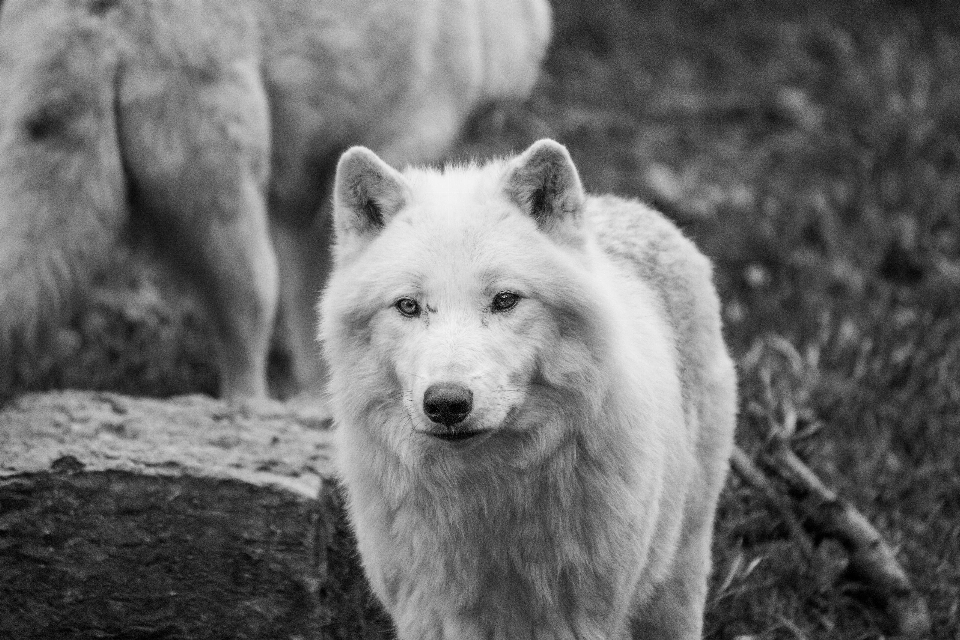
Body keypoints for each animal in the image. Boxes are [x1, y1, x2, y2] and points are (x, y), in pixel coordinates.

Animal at [320, 138, 736, 636]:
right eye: (408, 306)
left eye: (505, 300)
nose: (447, 403)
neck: (486, 494)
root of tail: (633, 206)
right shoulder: (428, 617)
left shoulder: (584, 619)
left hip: (676, 578)